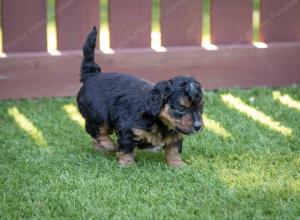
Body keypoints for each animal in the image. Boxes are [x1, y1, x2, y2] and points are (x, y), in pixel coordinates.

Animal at [77, 27, 204, 167]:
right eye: (181, 109)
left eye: (200, 108)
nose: (198, 126)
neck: (159, 121)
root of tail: (92, 75)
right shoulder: (128, 130)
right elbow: (126, 148)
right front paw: (128, 165)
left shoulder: (175, 134)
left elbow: (174, 149)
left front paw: (178, 165)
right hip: (98, 115)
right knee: (95, 130)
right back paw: (109, 145)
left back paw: (101, 149)